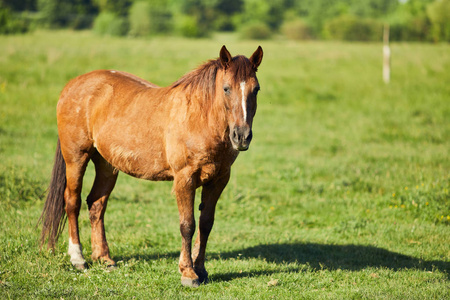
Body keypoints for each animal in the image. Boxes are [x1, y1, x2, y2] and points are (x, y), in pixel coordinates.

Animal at [39, 45, 264, 288]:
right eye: (226, 88)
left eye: (256, 89)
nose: (241, 136)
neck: (200, 117)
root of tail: (72, 84)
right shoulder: (185, 178)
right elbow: (187, 224)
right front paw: (188, 273)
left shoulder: (219, 180)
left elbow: (206, 224)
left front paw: (201, 270)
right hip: (76, 158)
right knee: (72, 201)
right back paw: (77, 258)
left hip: (107, 165)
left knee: (96, 204)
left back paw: (104, 259)